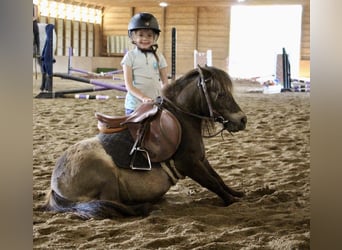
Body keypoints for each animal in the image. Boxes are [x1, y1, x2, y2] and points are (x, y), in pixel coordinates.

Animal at [44, 65, 247, 219]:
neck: (182, 120)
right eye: (220, 94)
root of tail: (55, 186)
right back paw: (144, 207)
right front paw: (232, 200)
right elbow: (212, 183)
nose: (242, 119)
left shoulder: (201, 159)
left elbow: (218, 178)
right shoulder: (190, 165)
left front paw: (236, 193)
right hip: (107, 178)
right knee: (112, 204)